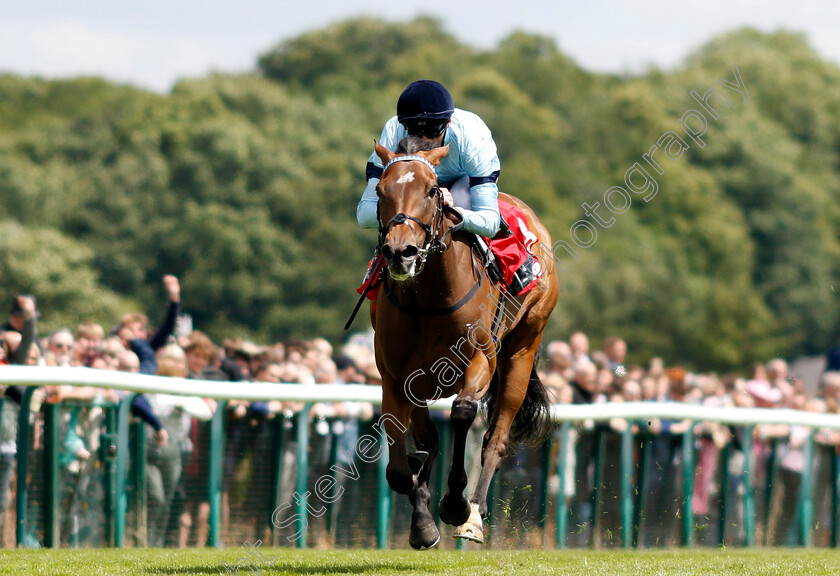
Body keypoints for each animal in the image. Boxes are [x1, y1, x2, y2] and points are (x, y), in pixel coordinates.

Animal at [372, 137, 556, 548]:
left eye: (431, 190)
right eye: (380, 190)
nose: (400, 252)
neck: (427, 300)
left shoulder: (480, 361)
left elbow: (462, 414)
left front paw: (455, 504)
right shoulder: (397, 376)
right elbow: (401, 467)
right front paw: (422, 521)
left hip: (522, 349)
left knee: (495, 438)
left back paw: (473, 514)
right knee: (431, 441)